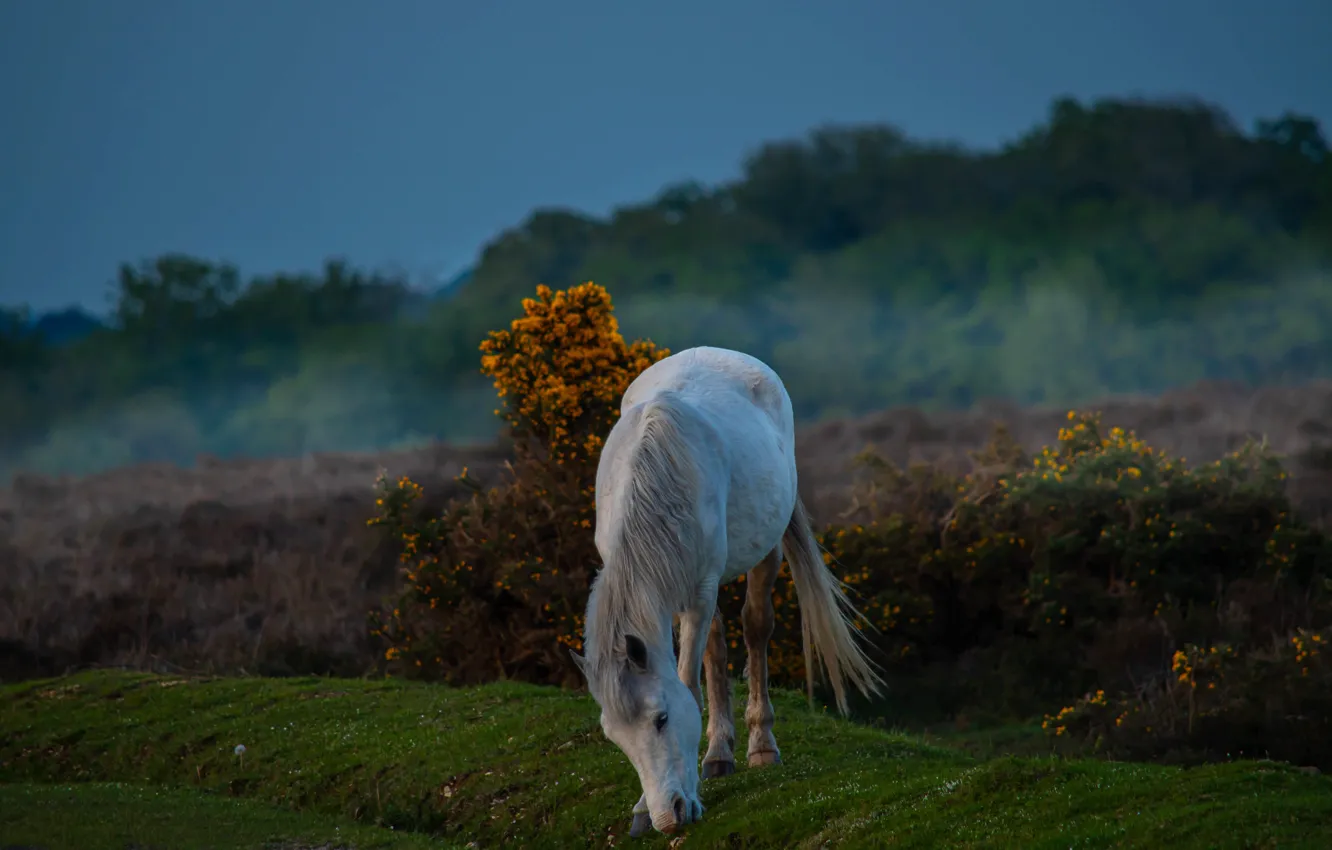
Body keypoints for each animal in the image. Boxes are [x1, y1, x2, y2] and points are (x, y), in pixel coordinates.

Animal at [570, 345, 884, 837]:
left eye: (661, 719)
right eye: (613, 736)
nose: (669, 815)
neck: (660, 473)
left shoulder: (699, 593)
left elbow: (688, 686)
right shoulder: (677, 595)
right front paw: (645, 807)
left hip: (763, 555)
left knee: (755, 629)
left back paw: (759, 745)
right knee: (717, 646)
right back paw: (719, 755)